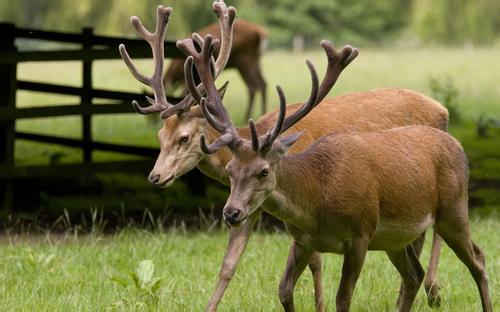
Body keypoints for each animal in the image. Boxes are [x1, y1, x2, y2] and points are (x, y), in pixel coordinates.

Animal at [122, 1, 450, 310]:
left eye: (184, 137)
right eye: (160, 137)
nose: (156, 176)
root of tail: (443, 110)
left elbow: (316, 260)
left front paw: (319, 305)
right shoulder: (251, 206)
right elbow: (228, 265)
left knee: (437, 228)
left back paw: (433, 290)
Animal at [184, 33, 492, 310]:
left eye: (263, 171)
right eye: (230, 169)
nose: (231, 212)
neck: (316, 203)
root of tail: (458, 145)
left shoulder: (361, 234)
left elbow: (343, 299)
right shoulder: (303, 241)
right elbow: (284, 290)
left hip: (453, 210)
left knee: (478, 258)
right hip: (396, 239)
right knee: (413, 275)